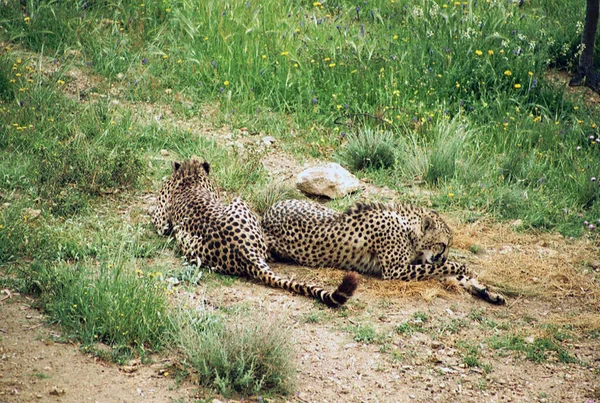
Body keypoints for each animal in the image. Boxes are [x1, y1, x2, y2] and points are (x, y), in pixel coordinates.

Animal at [262, 199, 506, 306]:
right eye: (442, 244)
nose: (443, 254)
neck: (407, 227)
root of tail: (266, 213)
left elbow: (453, 274)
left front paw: (488, 292)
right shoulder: (396, 271)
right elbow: (444, 267)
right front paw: (460, 265)